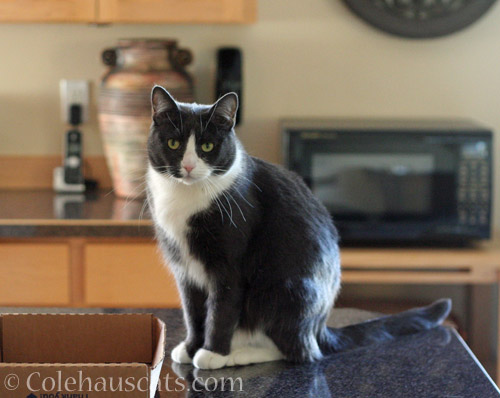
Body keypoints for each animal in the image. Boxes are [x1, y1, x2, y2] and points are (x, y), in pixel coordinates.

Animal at [146, 86, 452, 370]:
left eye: (207, 147)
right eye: (173, 143)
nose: (188, 166)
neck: (186, 198)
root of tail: (321, 327)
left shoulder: (230, 265)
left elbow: (221, 310)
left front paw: (212, 353)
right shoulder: (185, 270)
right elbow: (193, 312)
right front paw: (190, 348)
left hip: (284, 289)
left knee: (298, 350)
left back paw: (240, 355)